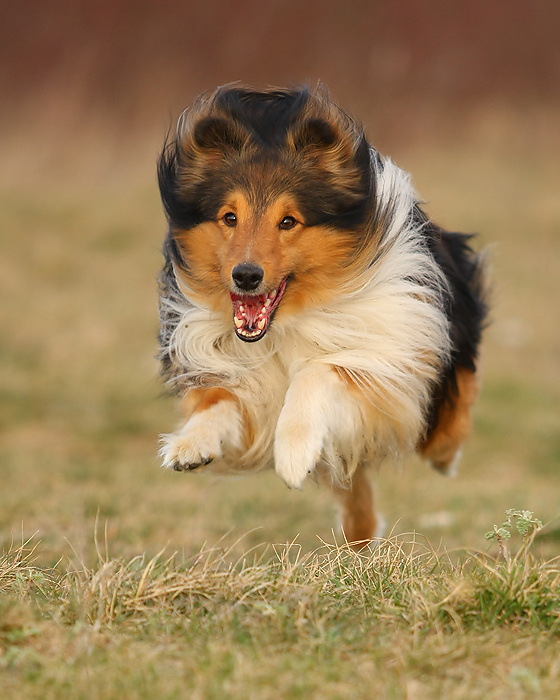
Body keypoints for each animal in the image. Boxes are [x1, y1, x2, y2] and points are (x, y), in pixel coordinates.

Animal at [156, 86, 486, 540]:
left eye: (288, 221)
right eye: (229, 217)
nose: (246, 276)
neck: (287, 324)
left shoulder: (386, 363)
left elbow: (320, 369)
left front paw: (293, 453)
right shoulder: (244, 382)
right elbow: (218, 399)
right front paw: (190, 445)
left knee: (454, 405)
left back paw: (444, 456)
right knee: (353, 490)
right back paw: (359, 539)